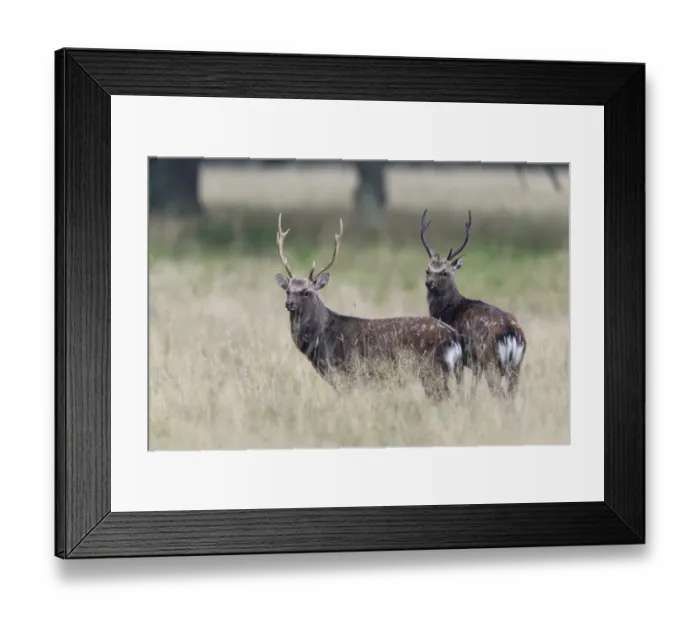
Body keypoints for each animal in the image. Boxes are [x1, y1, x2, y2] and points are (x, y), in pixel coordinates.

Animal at [274, 213, 464, 402]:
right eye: (288, 290)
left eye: (306, 292)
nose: (289, 303)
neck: (323, 338)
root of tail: (454, 337)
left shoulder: (346, 372)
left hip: (431, 370)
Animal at [419, 209, 527, 402]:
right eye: (427, 270)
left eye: (445, 272)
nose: (429, 282)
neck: (449, 311)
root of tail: (512, 333)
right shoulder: (476, 365)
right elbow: (473, 389)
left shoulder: (460, 359)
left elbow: (460, 387)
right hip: (516, 366)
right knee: (512, 395)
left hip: (490, 360)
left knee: (500, 395)